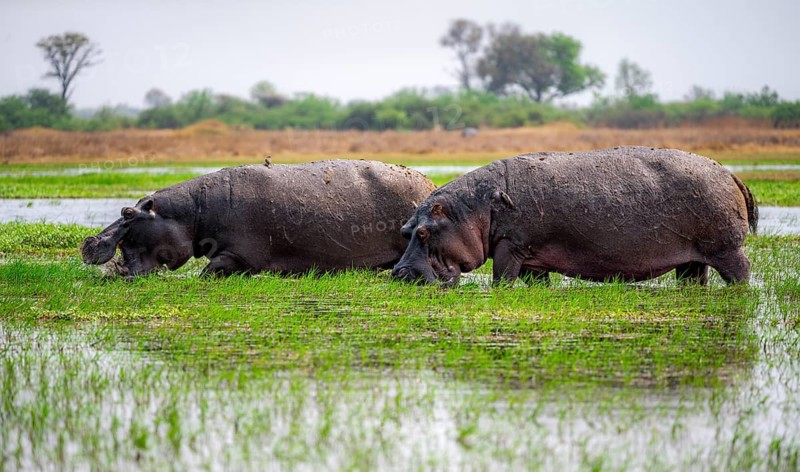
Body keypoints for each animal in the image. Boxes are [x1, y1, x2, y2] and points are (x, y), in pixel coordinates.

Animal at [81, 160, 435, 276]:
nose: (89, 245)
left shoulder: (240, 254)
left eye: (128, 213)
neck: (190, 213)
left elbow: (209, 272)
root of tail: (429, 183)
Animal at [391, 147, 757, 286]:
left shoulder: (511, 246)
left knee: (741, 272)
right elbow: (535, 283)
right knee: (694, 278)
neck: (473, 209)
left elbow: (501, 280)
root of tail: (729, 172)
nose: (399, 273)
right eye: (405, 229)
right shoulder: (533, 257)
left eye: (423, 232)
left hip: (726, 249)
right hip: (693, 257)